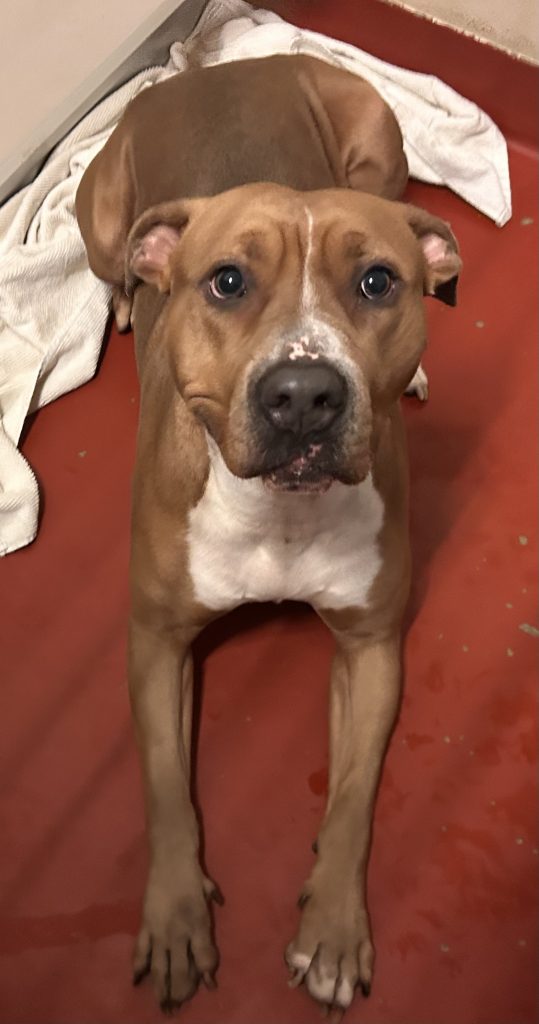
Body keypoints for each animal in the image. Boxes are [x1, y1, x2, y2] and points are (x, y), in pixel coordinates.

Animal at [76, 54, 461, 1018]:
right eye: (225, 282)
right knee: (112, 266)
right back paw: (126, 302)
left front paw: (331, 932)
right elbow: (164, 785)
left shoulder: (371, 647)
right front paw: (176, 916)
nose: (303, 396)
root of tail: (221, 64)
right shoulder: (155, 642)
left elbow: (353, 796)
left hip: (379, 147)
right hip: (100, 222)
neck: (281, 514)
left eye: (376, 282)